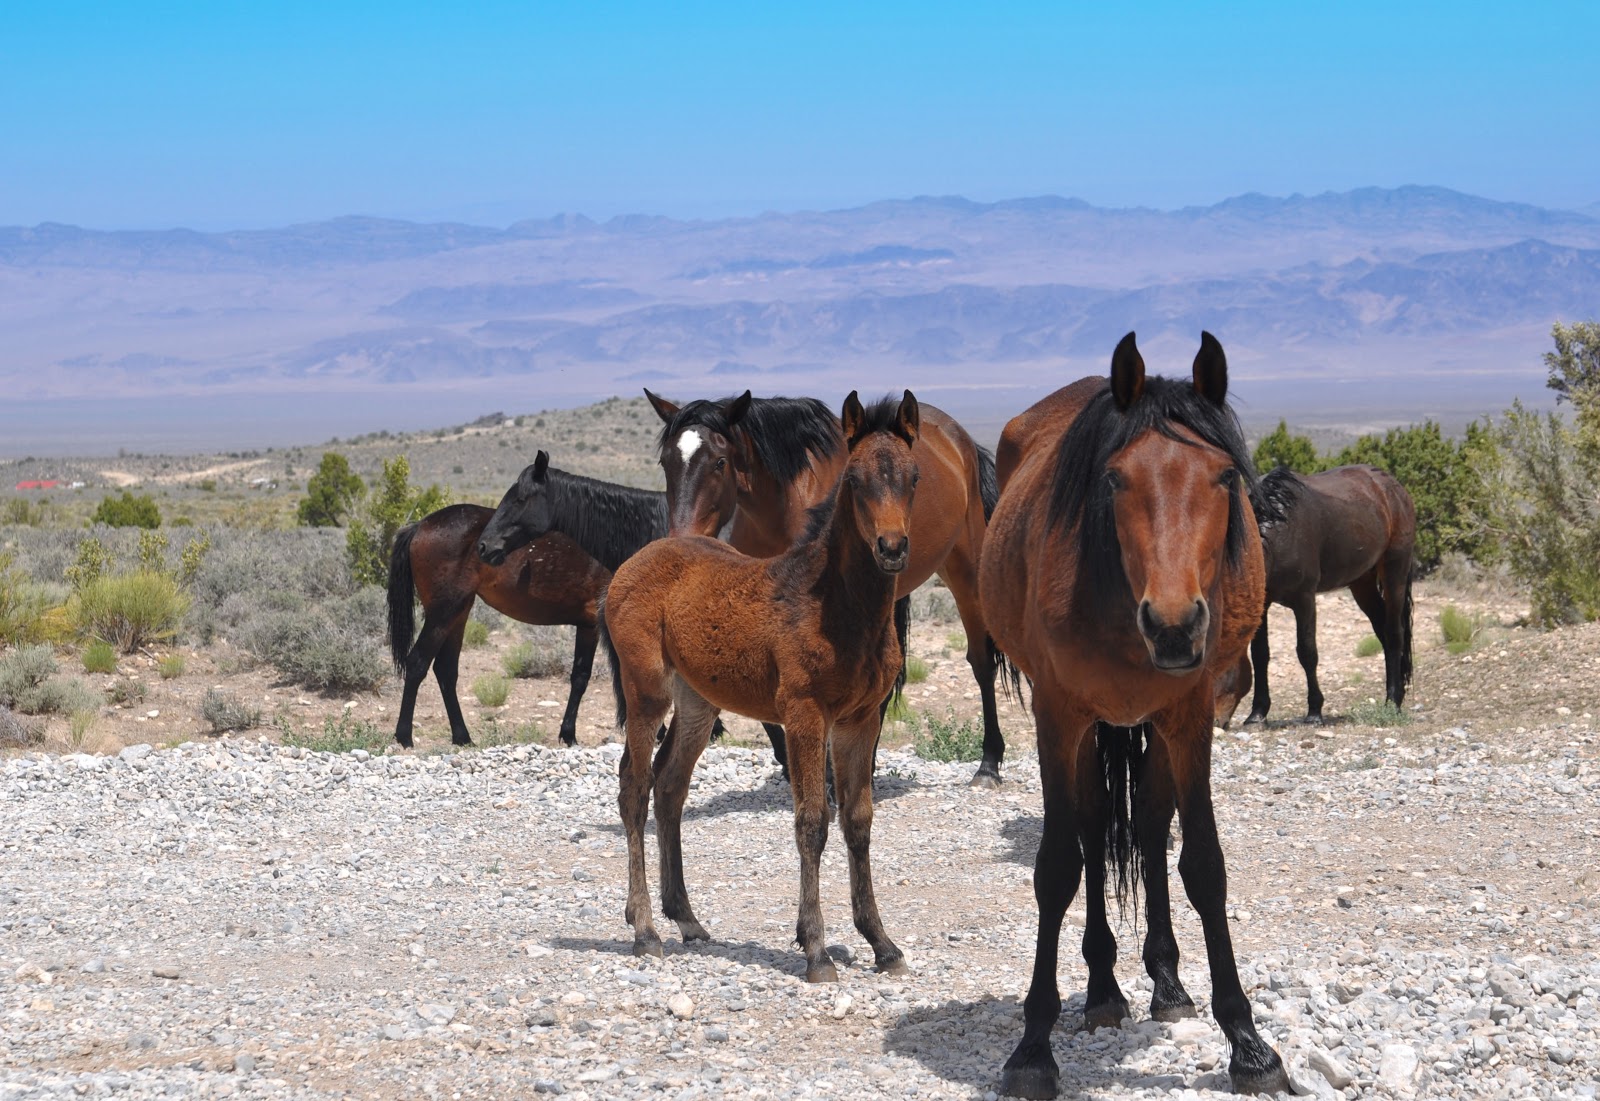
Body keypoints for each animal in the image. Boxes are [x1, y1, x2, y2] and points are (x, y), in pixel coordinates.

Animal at [599, 392, 920, 980]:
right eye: (854, 479)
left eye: (913, 477)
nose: (892, 547)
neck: (837, 604)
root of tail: (631, 565)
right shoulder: (804, 715)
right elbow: (813, 821)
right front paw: (816, 950)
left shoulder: (861, 720)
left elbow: (859, 820)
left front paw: (882, 944)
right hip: (647, 693)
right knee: (634, 787)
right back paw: (645, 930)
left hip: (698, 705)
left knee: (669, 785)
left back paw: (686, 919)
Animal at [644, 387, 1016, 787]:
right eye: (665, 462)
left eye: (720, 461)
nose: (680, 540)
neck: (783, 506)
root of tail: (960, 440)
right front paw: (792, 763)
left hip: (965, 572)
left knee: (981, 663)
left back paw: (988, 764)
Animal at [980, 333, 1289, 1098]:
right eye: (1115, 480)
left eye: (1222, 476)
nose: (1174, 626)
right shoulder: (1059, 715)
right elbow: (1057, 866)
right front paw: (1033, 1046)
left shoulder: (1190, 713)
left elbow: (1203, 863)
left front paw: (1248, 1043)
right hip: (1095, 725)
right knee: (1094, 830)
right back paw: (1101, 989)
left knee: (1147, 826)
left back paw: (1167, 980)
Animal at [1219, 464, 1416, 726]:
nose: (1215, 722)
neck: (1278, 530)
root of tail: (1393, 486)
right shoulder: (1262, 603)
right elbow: (1261, 655)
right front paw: (1257, 713)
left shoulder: (1305, 599)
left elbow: (1307, 652)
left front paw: (1314, 711)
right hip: (1362, 583)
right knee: (1382, 631)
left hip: (1395, 571)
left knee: (1394, 634)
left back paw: (1392, 702)